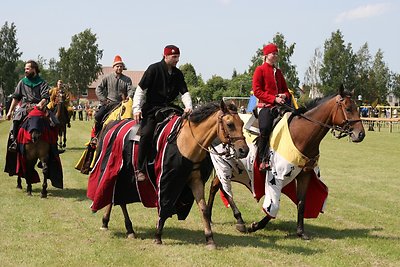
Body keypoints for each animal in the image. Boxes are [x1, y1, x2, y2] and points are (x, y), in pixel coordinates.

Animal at [87, 100, 248, 249]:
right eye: (230, 124)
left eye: (242, 123)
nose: (244, 150)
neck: (187, 141)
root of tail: (112, 125)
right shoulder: (167, 180)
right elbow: (165, 205)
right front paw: (158, 236)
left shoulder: (195, 179)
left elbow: (203, 208)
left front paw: (210, 239)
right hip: (119, 171)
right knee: (118, 198)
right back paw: (128, 228)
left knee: (115, 195)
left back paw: (111, 223)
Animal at [206, 86, 366, 241]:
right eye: (348, 108)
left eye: (357, 108)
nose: (360, 134)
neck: (301, 135)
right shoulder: (276, 177)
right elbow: (274, 205)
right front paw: (255, 226)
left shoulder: (304, 175)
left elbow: (301, 202)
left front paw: (301, 232)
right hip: (224, 164)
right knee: (223, 188)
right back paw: (239, 221)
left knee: (216, 186)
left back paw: (210, 216)